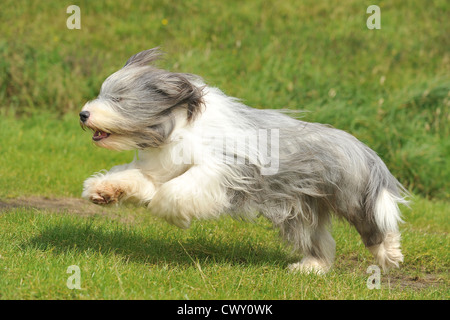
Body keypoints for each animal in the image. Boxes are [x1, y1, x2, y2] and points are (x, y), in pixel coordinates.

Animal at [79, 47, 410, 272]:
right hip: (300, 209)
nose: (83, 114)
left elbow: (175, 191)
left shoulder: (222, 168)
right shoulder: (159, 167)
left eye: (119, 99)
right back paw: (310, 267)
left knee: (374, 223)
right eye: (102, 93)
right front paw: (102, 191)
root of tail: (362, 149)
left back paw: (389, 254)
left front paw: (168, 211)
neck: (177, 127)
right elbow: (138, 179)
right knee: (318, 239)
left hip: (351, 195)